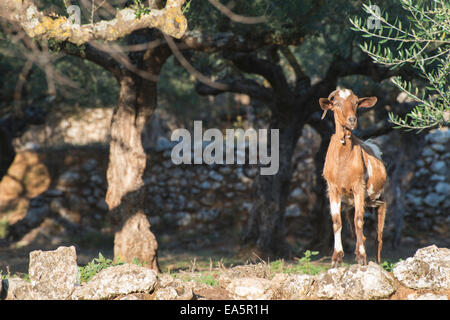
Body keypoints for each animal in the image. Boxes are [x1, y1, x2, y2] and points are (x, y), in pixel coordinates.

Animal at [320, 89, 386, 266]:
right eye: (336, 103)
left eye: (356, 102)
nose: (352, 120)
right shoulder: (333, 189)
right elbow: (337, 222)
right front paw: (336, 258)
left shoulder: (359, 187)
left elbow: (359, 220)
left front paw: (362, 257)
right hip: (350, 204)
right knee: (357, 230)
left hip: (378, 198)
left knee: (378, 235)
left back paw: (376, 261)